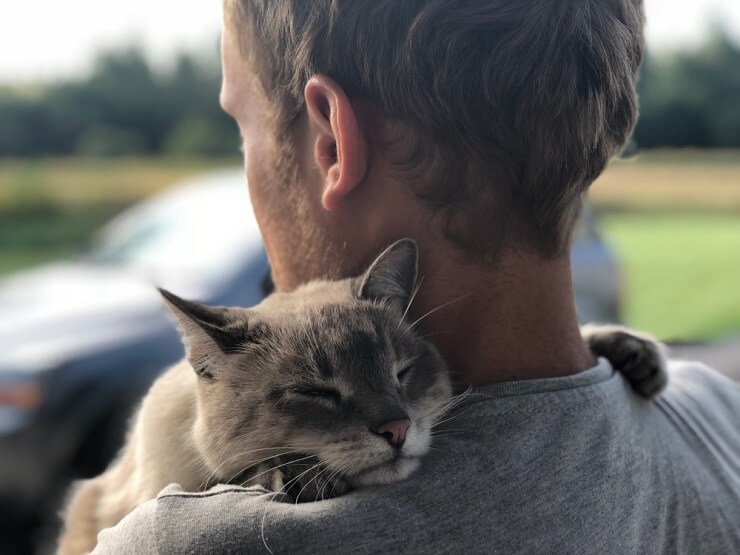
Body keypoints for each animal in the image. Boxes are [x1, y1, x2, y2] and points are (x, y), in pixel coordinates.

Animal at [56, 240, 664, 555]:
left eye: (402, 373)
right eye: (316, 392)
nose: (396, 430)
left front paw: (633, 351)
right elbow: (243, 473)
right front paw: (294, 478)